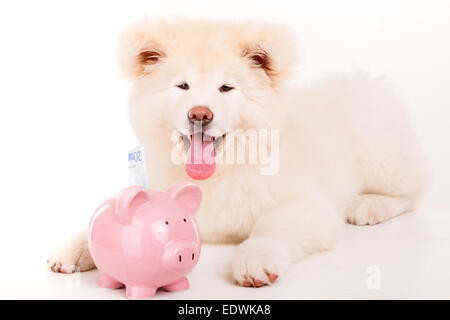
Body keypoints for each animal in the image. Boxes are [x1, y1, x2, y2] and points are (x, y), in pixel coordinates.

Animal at [47, 18, 428, 286]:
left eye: (226, 88)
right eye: (182, 86)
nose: (200, 114)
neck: (220, 172)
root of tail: (358, 83)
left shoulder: (308, 205)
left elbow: (271, 226)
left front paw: (255, 260)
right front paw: (75, 248)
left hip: (379, 149)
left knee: (414, 192)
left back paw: (369, 206)